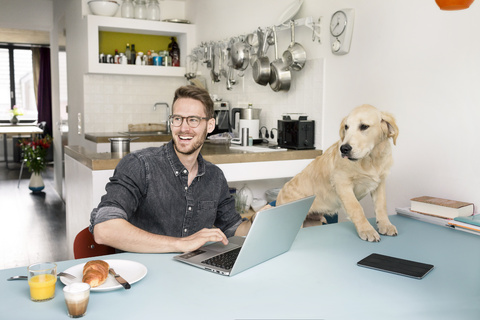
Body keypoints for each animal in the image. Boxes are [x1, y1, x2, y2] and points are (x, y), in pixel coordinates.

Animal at [276, 104, 400, 241]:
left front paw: (385, 225)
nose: (344, 149)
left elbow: (381, 205)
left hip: (312, 222)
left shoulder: (379, 183)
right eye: (346, 127)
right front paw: (367, 230)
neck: (370, 160)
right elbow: (356, 208)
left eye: (364, 126)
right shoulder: (342, 183)